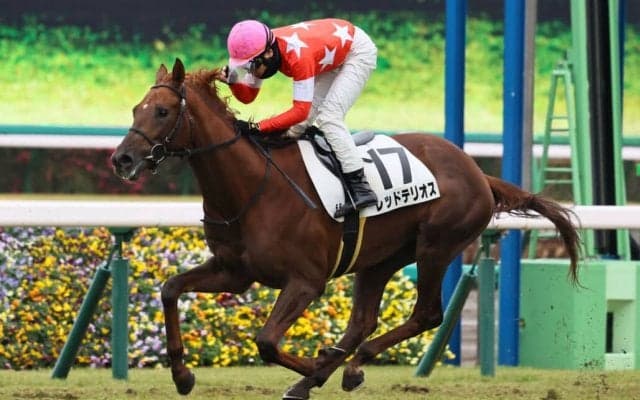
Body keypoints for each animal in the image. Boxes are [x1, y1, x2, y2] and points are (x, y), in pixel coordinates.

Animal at [111, 58, 580, 399]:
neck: (251, 188)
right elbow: (170, 289)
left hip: (436, 246)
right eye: (135, 109)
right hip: (379, 260)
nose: (122, 159)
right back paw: (334, 370)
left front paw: (317, 365)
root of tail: (479, 172)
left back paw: (343, 367)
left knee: (425, 314)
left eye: (163, 111)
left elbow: (266, 341)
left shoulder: (306, 281)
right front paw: (182, 375)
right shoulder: (234, 271)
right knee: (363, 322)